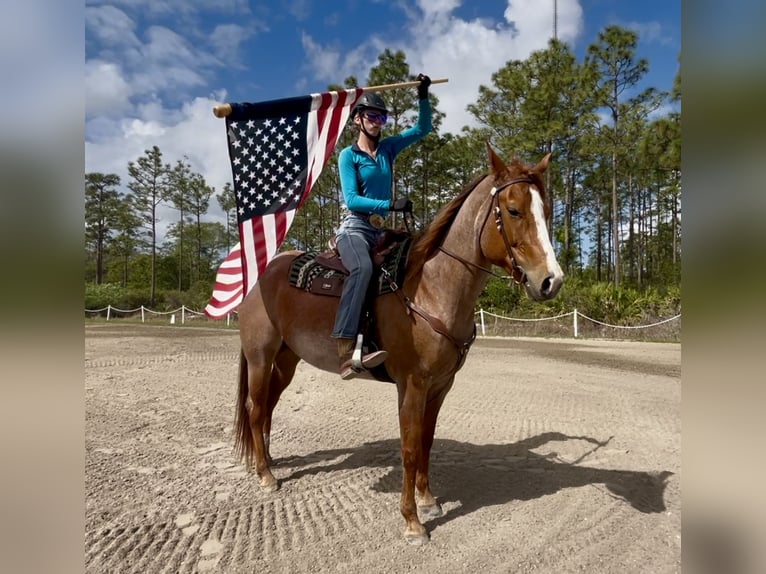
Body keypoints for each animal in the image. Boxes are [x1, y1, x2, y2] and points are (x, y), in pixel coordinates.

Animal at [235, 144, 564, 544]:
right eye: (514, 210)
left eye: (545, 212)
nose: (551, 281)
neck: (429, 287)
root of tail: (260, 275)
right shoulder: (412, 384)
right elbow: (408, 448)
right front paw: (412, 521)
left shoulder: (441, 385)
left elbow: (426, 441)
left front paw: (428, 500)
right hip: (260, 356)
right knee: (254, 408)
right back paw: (266, 476)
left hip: (286, 361)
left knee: (267, 407)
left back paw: (267, 462)